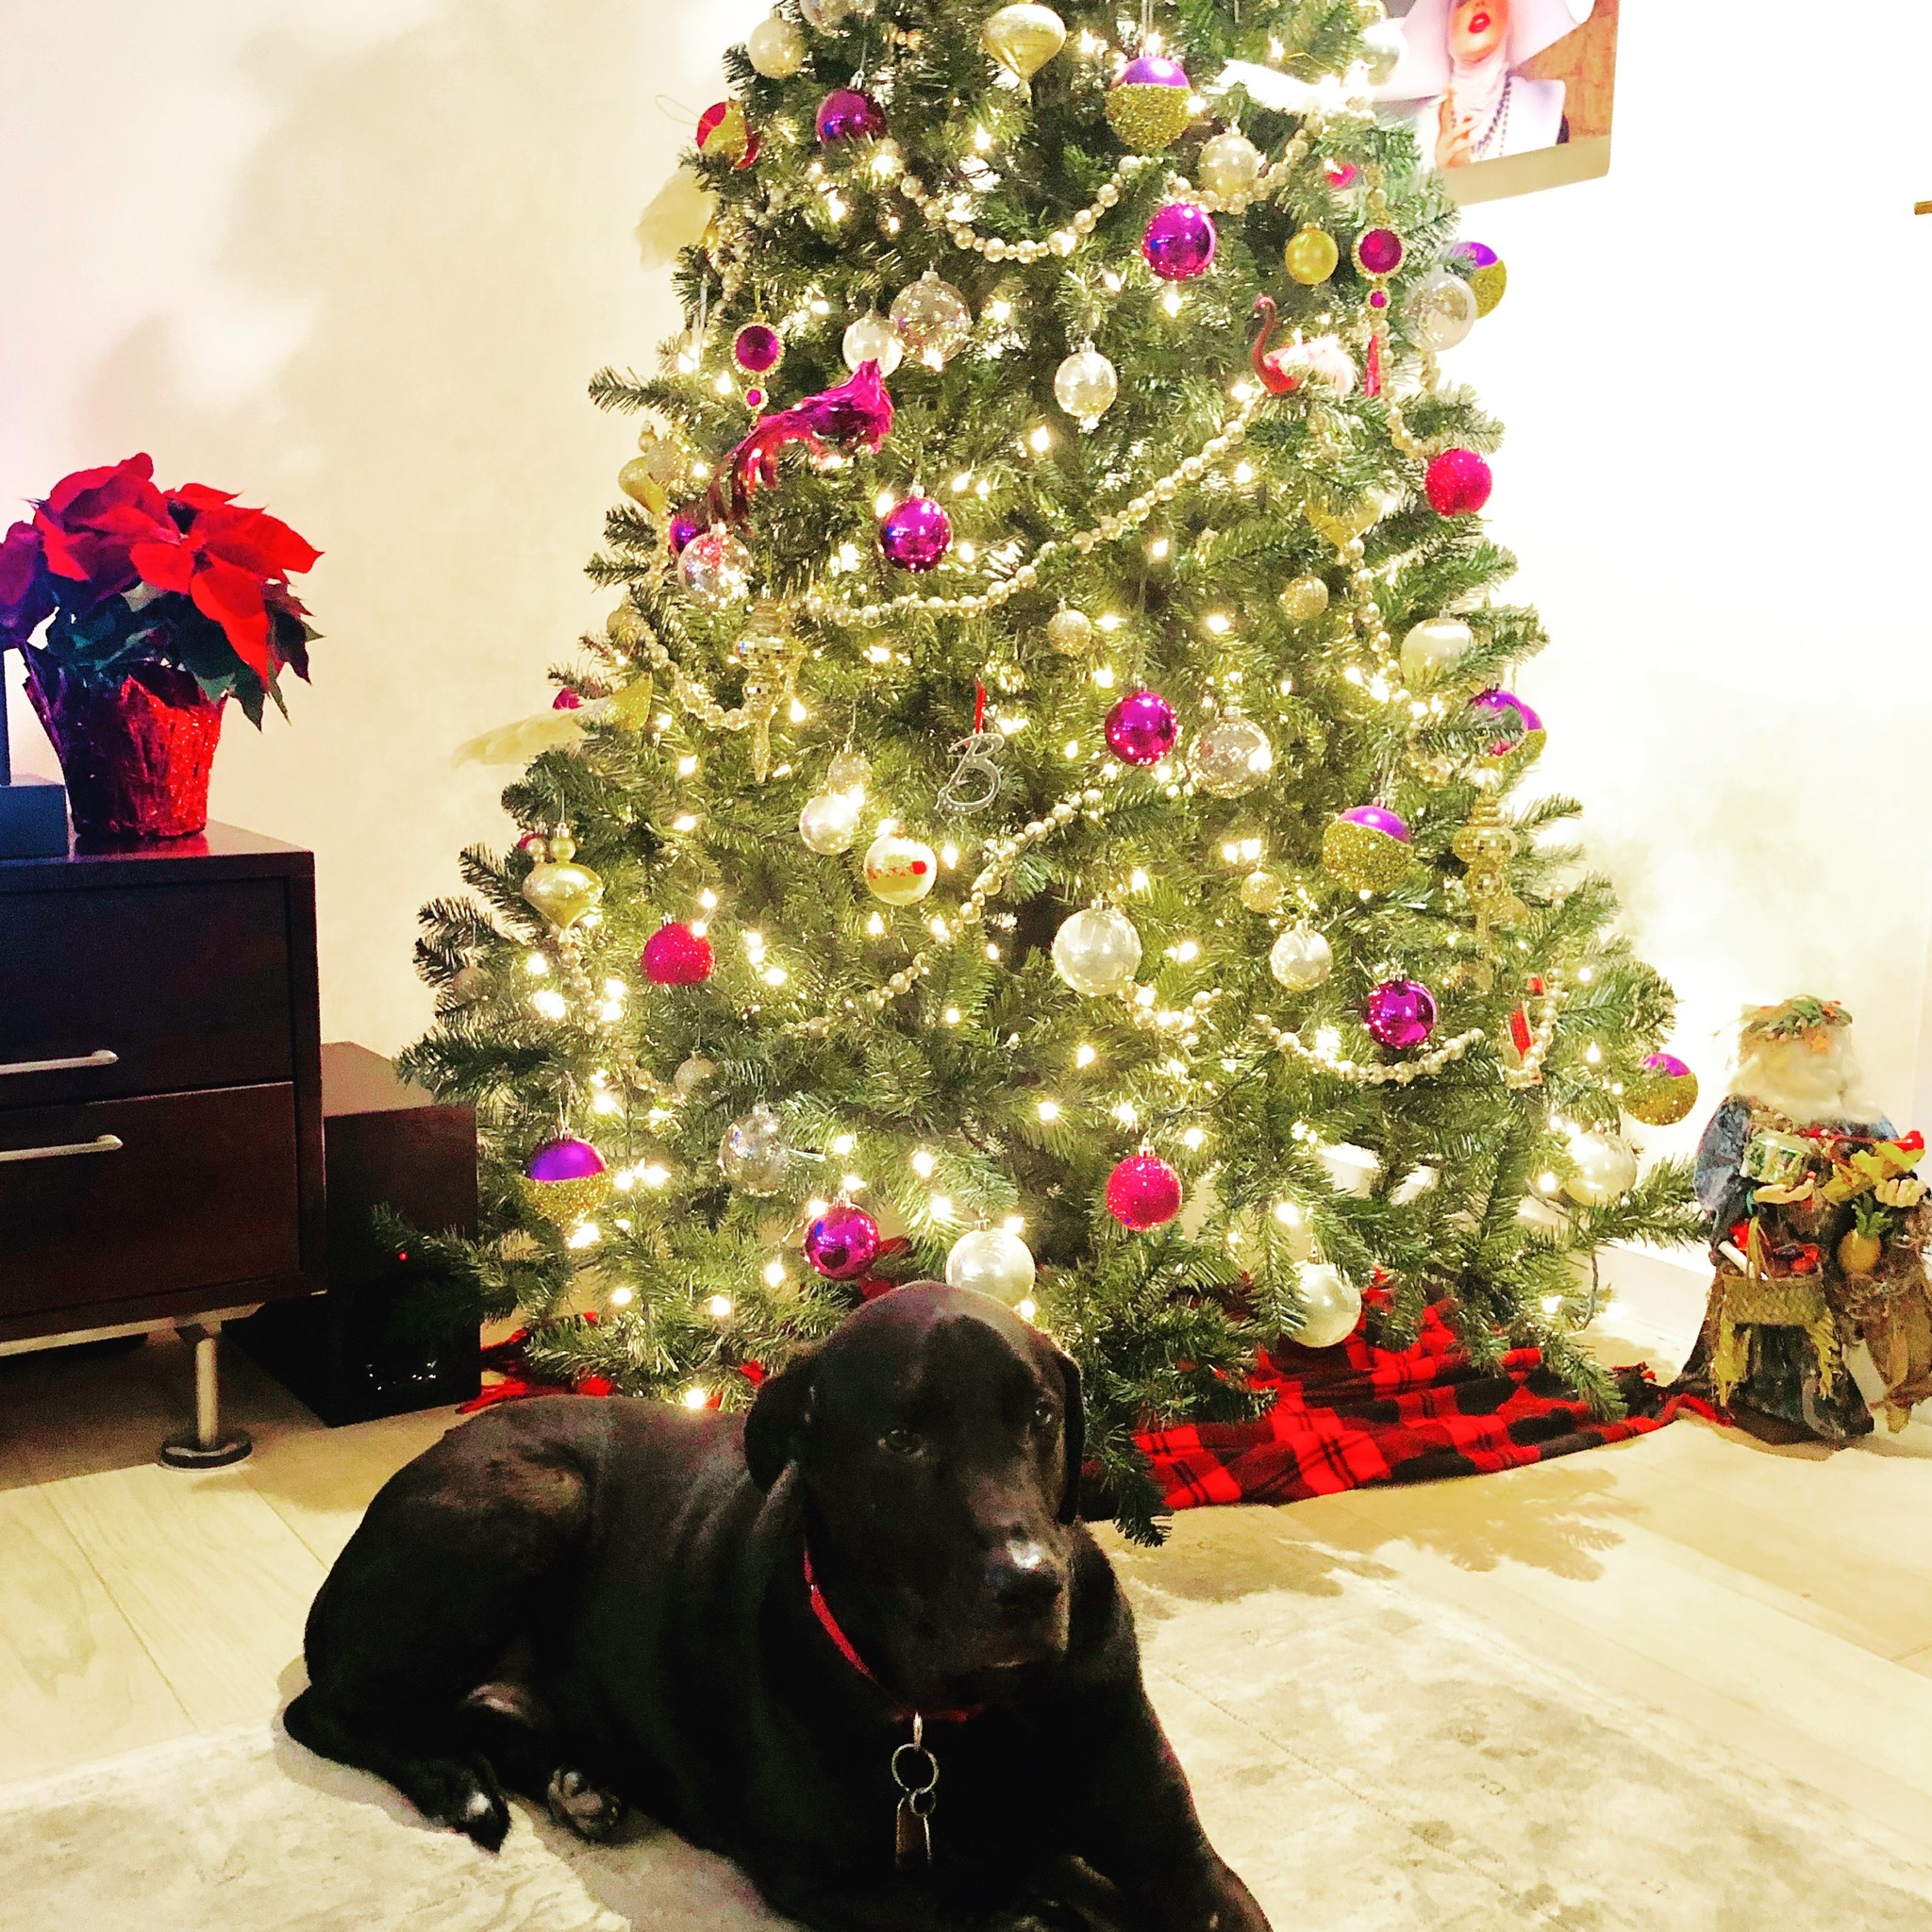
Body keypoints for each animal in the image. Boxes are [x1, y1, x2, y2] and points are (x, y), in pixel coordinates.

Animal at [286, 1274, 1267, 1924]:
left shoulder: (1180, 1863)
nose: (1030, 1583)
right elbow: (1013, 1909)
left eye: (1040, 1415)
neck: (962, 1718)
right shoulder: (838, 1883)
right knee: (322, 1711)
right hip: (533, 1501)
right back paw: (459, 1785)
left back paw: (578, 1783)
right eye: (900, 1438)